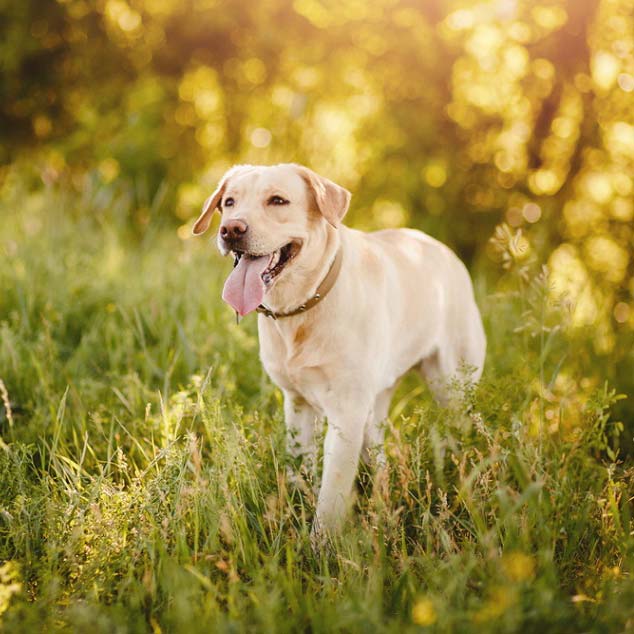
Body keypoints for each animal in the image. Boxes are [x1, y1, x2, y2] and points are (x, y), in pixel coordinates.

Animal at [193, 163, 484, 540]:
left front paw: (321, 546)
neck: (303, 307)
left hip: (452, 388)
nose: (231, 229)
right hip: (376, 404)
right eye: (229, 202)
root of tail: (441, 248)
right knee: (378, 452)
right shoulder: (298, 404)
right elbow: (298, 468)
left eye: (278, 200)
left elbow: (331, 494)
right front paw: (293, 512)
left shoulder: (346, 414)